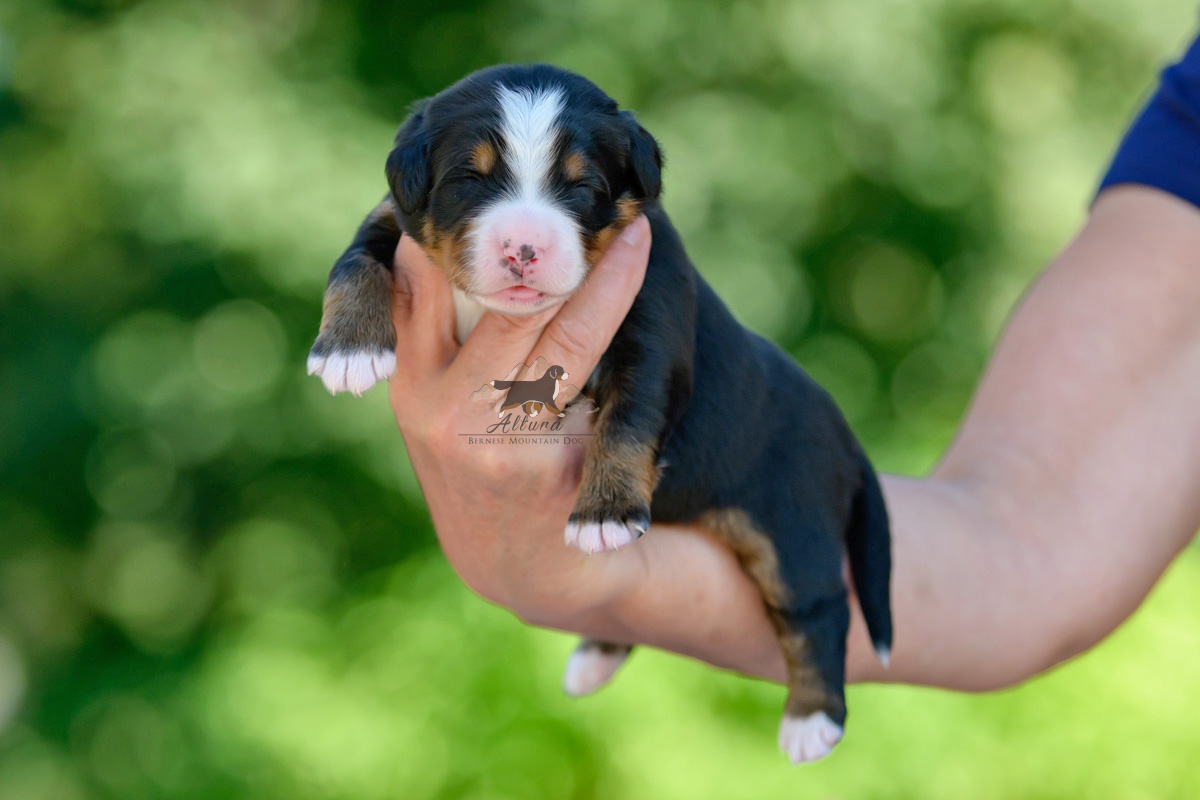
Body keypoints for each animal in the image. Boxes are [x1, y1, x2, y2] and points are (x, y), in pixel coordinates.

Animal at [307, 64, 892, 764]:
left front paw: (604, 512)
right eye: (469, 179)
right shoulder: (391, 217)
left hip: (793, 525)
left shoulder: (653, 325)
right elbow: (355, 260)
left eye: (583, 187)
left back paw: (813, 719)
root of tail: (844, 435)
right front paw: (349, 347)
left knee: (819, 608)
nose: (523, 248)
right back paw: (595, 658)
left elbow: (629, 421)